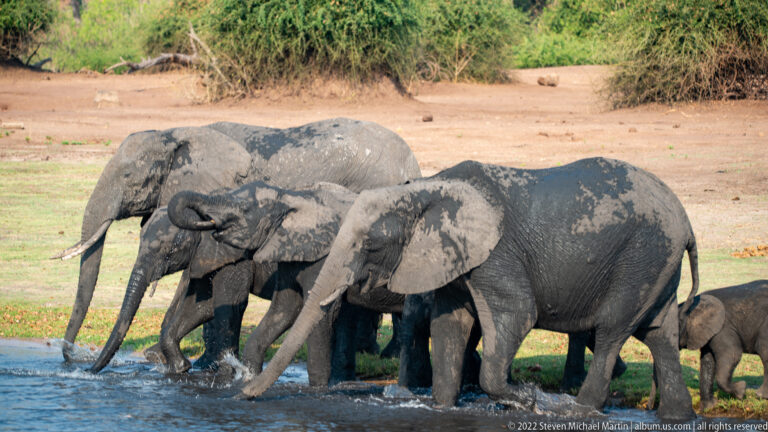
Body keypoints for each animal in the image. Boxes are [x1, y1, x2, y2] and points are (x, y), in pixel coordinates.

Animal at [53, 118, 421, 363]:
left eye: (129, 177)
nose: (72, 355)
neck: (177, 133)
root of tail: (412, 162)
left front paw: (165, 357)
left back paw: (382, 356)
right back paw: (376, 354)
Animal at [233, 157, 700, 421]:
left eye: (371, 244)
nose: (243, 395)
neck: (427, 190)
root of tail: (685, 218)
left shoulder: (496, 254)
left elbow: (517, 314)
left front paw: (527, 400)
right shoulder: (449, 257)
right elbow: (449, 327)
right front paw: (441, 406)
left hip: (641, 257)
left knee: (611, 332)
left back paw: (577, 410)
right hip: (657, 262)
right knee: (659, 334)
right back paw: (678, 417)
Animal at [649, 280, 768, 411]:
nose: (650, 408)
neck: (692, 306)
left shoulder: (723, 328)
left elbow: (732, 354)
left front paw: (741, 391)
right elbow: (707, 361)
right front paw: (709, 407)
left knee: (764, 350)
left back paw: (761, 395)